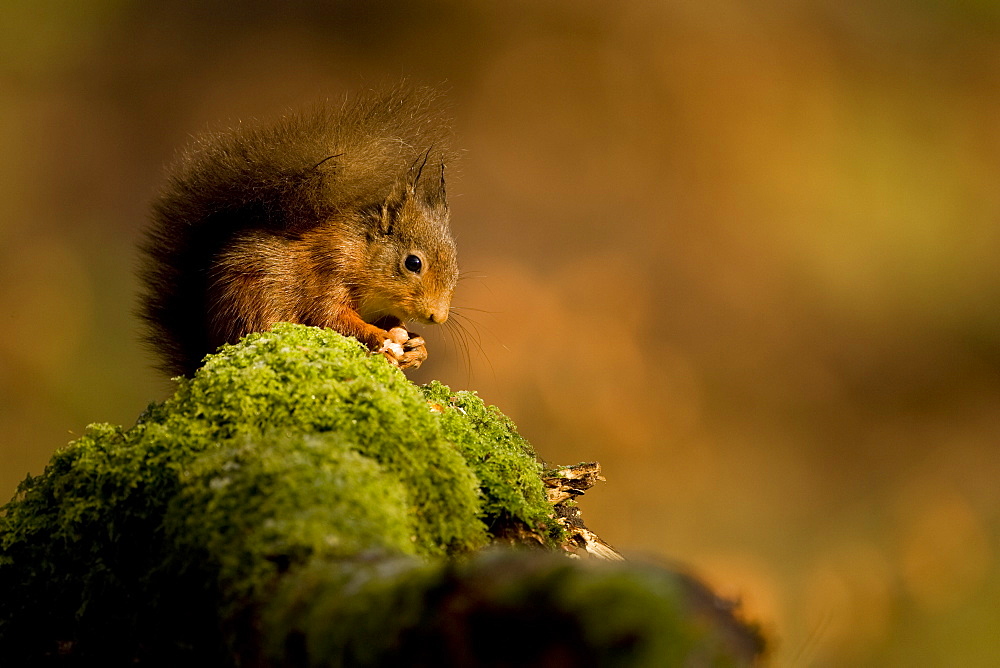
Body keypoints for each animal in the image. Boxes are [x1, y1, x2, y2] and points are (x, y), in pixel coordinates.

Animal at [137, 86, 458, 376]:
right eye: (413, 263)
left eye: (456, 271)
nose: (437, 317)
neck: (361, 252)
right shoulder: (329, 268)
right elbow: (329, 315)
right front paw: (378, 337)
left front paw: (417, 348)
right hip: (253, 304)